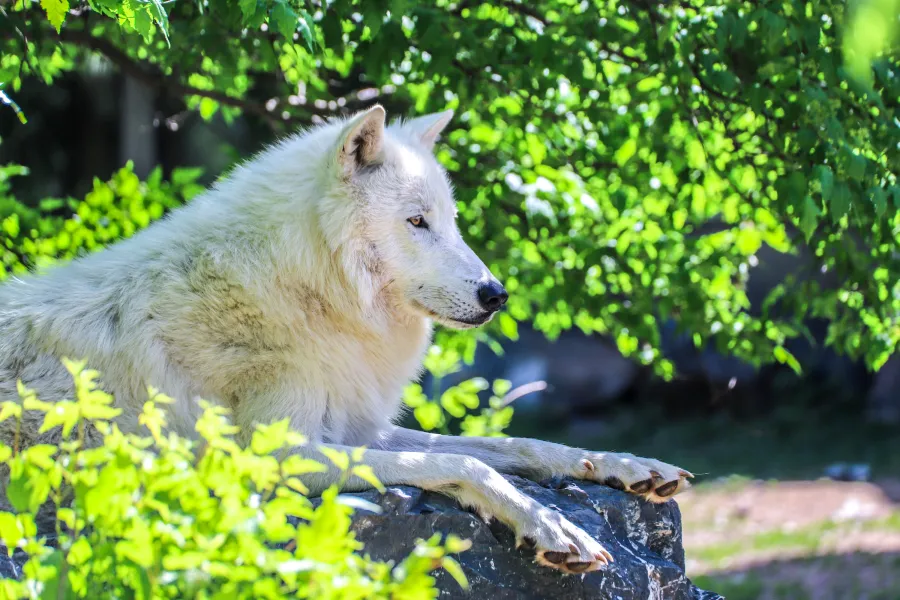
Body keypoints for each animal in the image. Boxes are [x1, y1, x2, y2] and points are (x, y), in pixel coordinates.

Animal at [0, 105, 692, 574]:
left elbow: (513, 443)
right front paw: (548, 525)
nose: (496, 294)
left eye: (452, 222)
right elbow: (460, 463)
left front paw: (625, 467)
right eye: (417, 222)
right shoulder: (281, 456)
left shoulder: (360, 427)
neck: (302, 287)